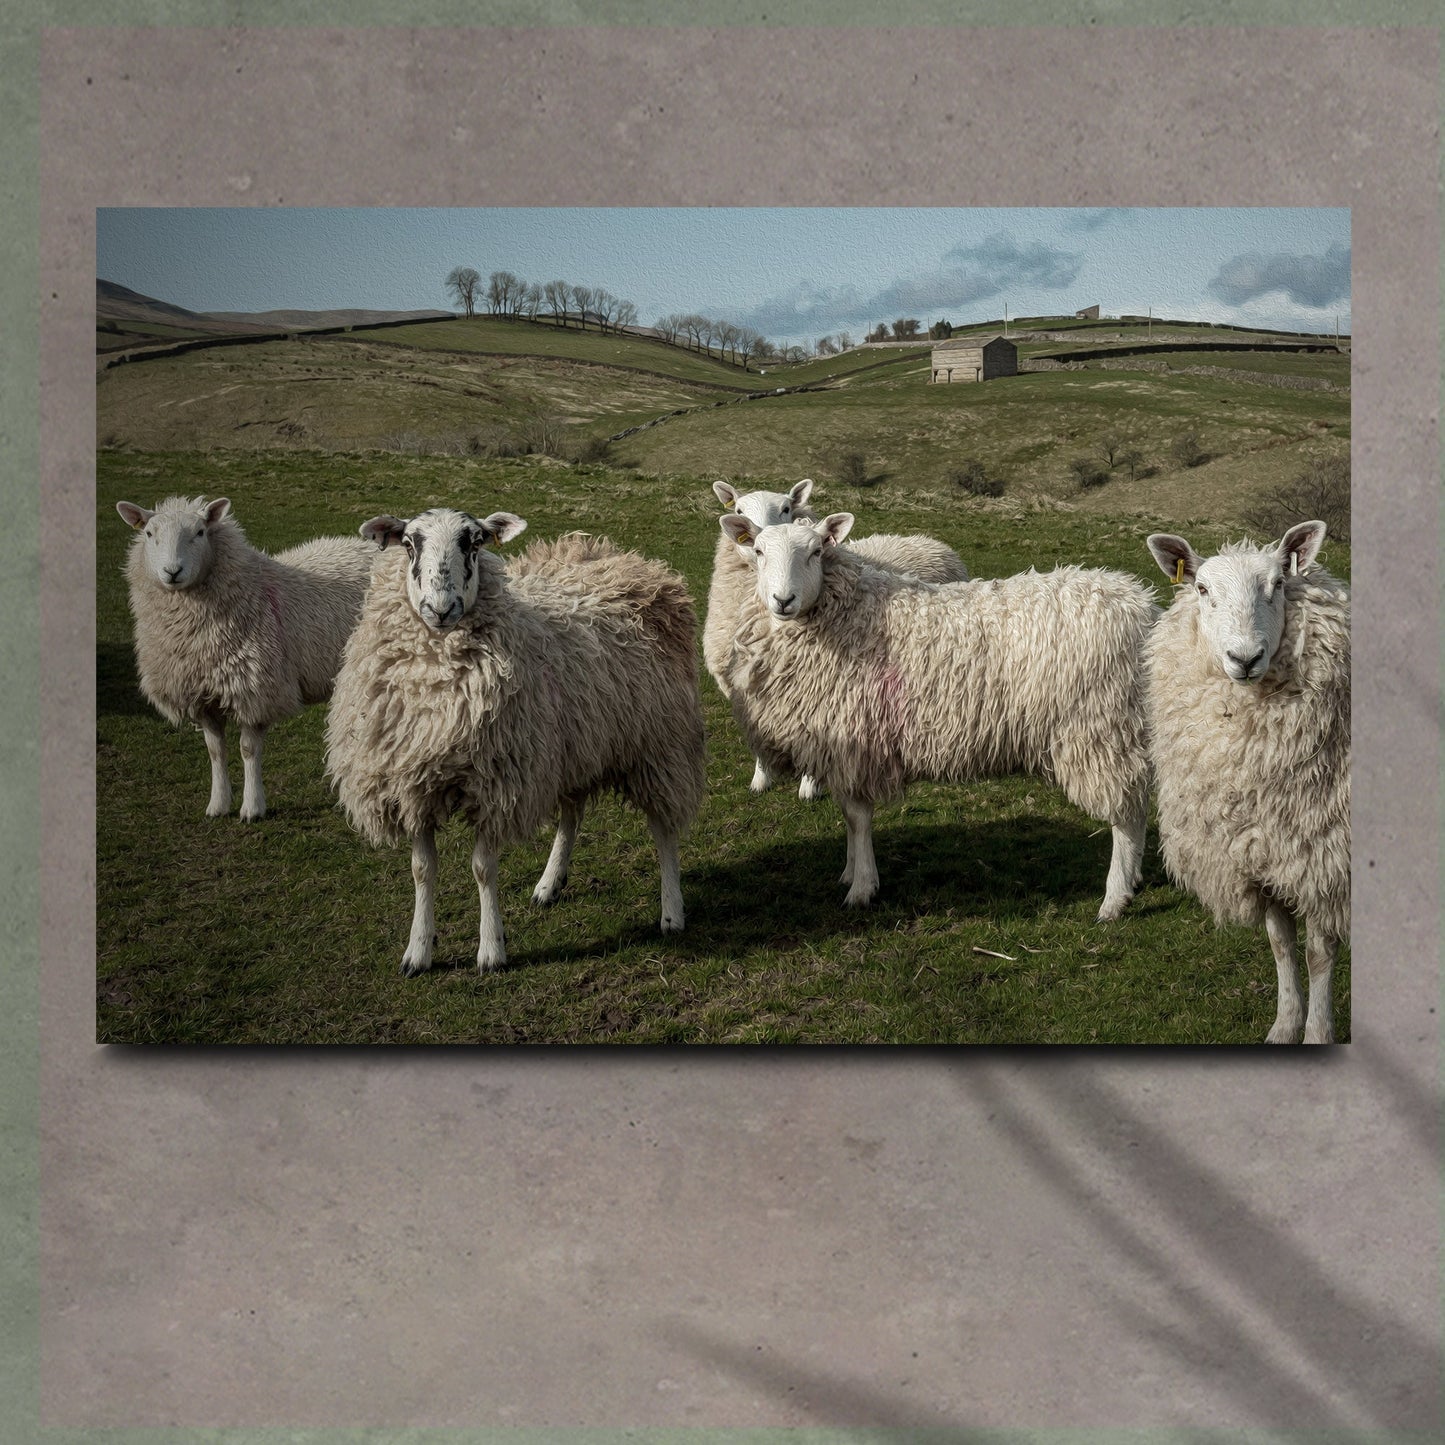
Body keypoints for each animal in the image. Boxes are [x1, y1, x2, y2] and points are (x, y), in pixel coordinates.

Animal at [115, 494, 378, 821]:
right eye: (150, 534)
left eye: (200, 532)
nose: (172, 571)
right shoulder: (203, 697)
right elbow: (215, 750)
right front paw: (217, 805)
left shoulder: (254, 691)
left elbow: (248, 750)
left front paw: (252, 807)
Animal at [324, 508, 706, 976]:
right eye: (409, 544)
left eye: (474, 542)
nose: (440, 610)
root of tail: (619, 556)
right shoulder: (412, 787)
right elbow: (421, 870)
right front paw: (417, 951)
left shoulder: (496, 784)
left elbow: (482, 869)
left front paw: (491, 950)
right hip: (574, 745)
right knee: (572, 814)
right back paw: (549, 883)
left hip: (658, 745)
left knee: (662, 827)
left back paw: (671, 910)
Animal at [705, 478, 970, 799]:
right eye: (739, 510)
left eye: (786, 508)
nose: (783, 599)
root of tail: (930, 541)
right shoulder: (748, 684)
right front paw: (760, 779)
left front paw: (810, 786)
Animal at [718, 511, 1155, 920]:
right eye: (759, 551)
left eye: (815, 551)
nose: (783, 600)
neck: (848, 613)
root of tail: (1142, 605)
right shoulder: (841, 746)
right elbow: (847, 816)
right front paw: (849, 872)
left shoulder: (856, 738)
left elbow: (858, 818)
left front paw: (862, 888)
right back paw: (1133, 879)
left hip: (1101, 729)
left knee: (1127, 818)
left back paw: (1114, 899)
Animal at [1143, 521, 1350, 1044]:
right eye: (1201, 589)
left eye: (1277, 583)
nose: (1244, 657)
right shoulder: (1260, 854)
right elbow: (1280, 944)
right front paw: (1285, 1025)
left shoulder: (1323, 859)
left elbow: (1319, 954)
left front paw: (1317, 1032)